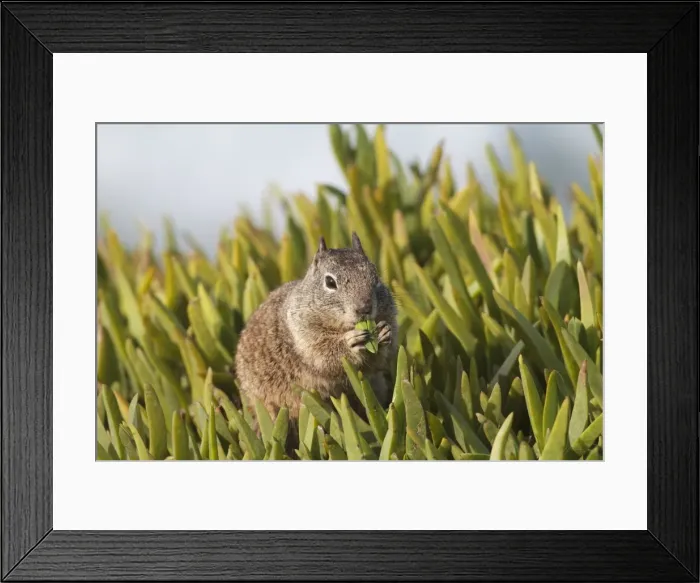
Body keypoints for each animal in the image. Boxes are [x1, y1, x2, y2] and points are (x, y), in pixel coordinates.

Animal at [234, 232, 399, 445]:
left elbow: (376, 363)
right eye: (330, 282)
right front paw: (350, 343)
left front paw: (386, 332)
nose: (365, 308)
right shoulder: (305, 335)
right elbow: (324, 355)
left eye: (376, 276)